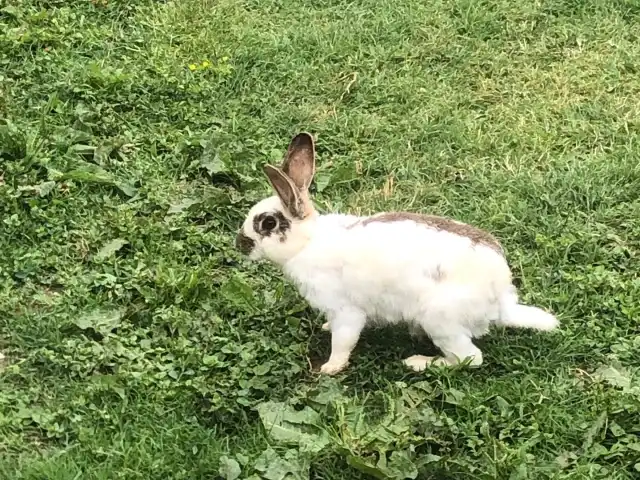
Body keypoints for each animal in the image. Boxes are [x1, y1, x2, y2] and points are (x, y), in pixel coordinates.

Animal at [236, 132, 560, 376]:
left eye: (268, 223)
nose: (240, 243)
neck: (308, 242)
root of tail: (501, 303)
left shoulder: (347, 310)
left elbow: (343, 341)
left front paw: (330, 368)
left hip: (440, 319)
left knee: (469, 357)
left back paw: (418, 362)